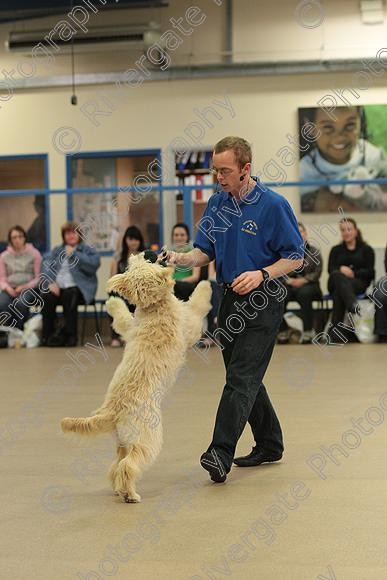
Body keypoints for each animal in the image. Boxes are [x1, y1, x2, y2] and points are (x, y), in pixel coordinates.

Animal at [61, 254, 212, 502]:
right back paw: (131, 495)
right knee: (128, 466)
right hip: (146, 440)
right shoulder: (190, 325)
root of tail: (112, 411)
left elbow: (122, 319)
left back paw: (119, 489)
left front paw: (113, 303)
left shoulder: (130, 326)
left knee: (116, 466)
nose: (140, 254)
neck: (155, 307)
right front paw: (206, 285)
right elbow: (198, 305)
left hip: (123, 442)